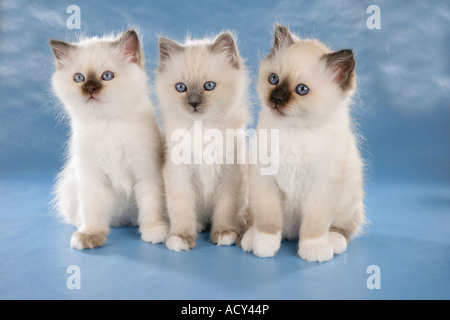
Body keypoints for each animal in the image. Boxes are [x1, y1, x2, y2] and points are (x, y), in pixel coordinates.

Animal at [49, 29, 169, 250]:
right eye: (79, 78)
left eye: (107, 76)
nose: (90, 88)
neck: (108, 123)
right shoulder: (92, 178)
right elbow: (92, 210)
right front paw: (90, 235)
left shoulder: (147, 174)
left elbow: (151, 206)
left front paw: (154, 231)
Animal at [156, 31, 250, 250]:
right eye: (181, 87)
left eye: (209, 86)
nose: (194, 104)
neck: (203, 129)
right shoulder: (179, 174)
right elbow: (181, 210)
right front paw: (181, 237)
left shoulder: (229, 175)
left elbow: (225, 209)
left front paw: (224, 233)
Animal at [243, 25, 366, 262]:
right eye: (274, 79)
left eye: (301, 90)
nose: (276, 99)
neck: (295, 131)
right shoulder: (265, 180)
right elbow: (268, 220)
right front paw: (264, 245)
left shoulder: (322, 187)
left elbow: (314, 226)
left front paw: (314, 250)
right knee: (257, 220)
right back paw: (250, 238)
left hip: (349, 203)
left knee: (342, 228)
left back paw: (334, 242)